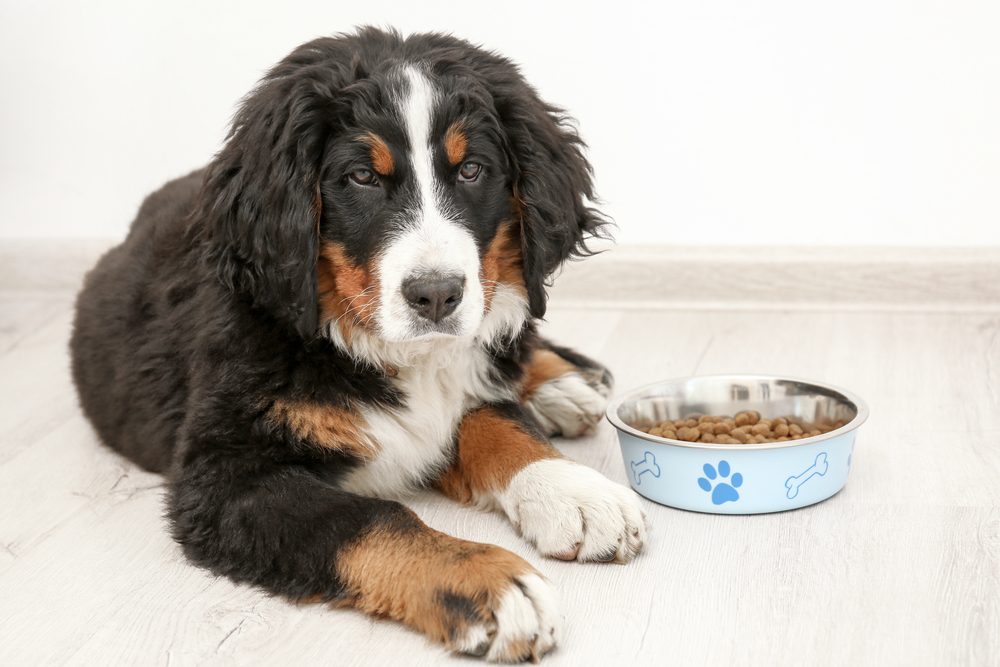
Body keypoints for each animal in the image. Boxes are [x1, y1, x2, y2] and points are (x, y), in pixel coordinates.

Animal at [72, 27, 648, 664]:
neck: (370, 345)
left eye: (472, 170)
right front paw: (489, 580)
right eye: (362, 178)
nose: (436, 295)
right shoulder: (224, 476)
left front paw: (573, 492)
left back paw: (565, 383)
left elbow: (497, 420)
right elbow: (367, 518)